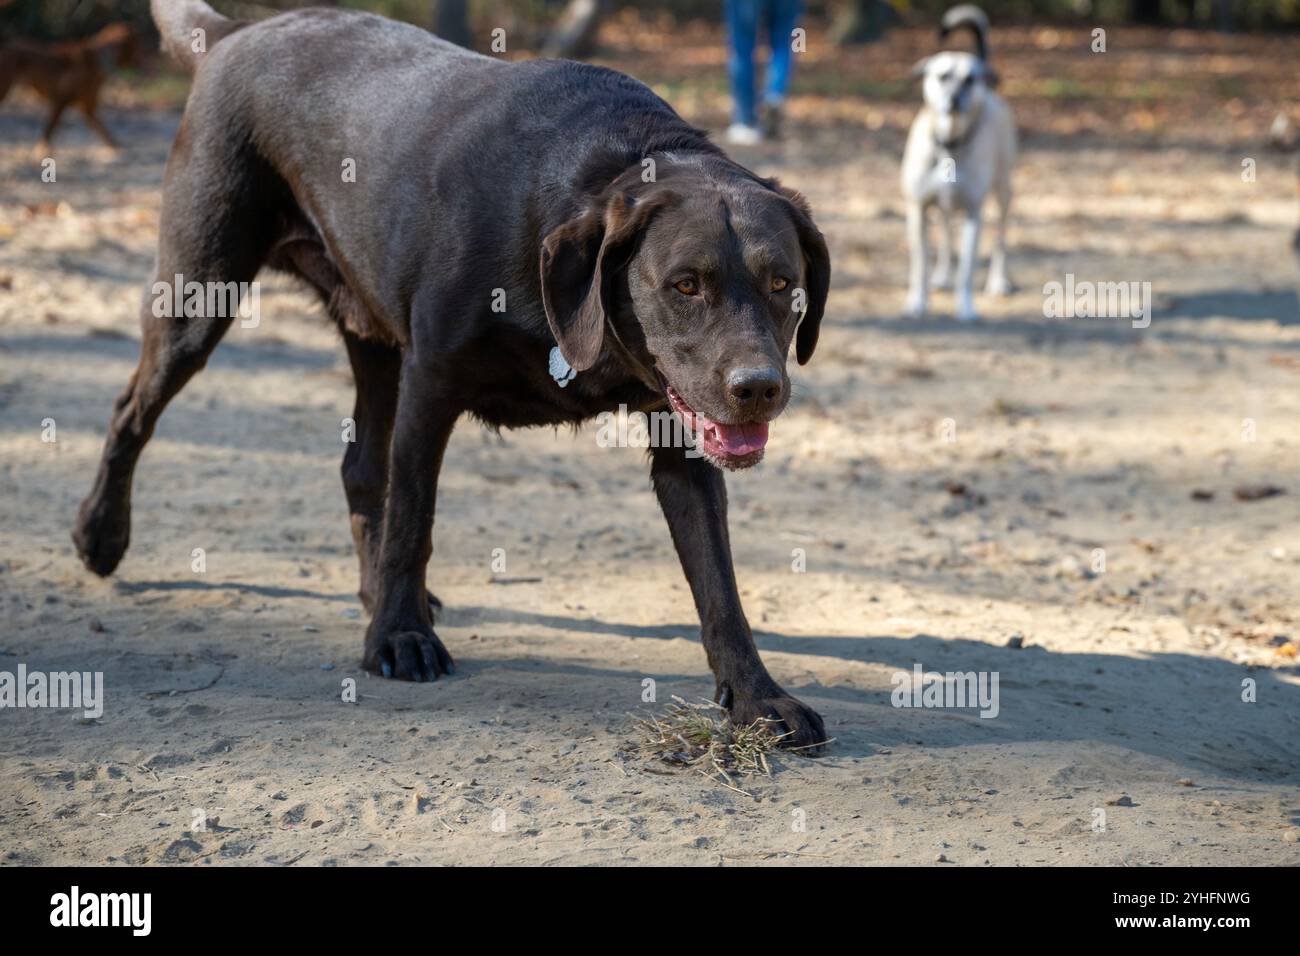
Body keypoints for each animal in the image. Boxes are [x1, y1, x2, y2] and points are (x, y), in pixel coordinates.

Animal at [0, 23, 143, 151]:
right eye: (136, 47)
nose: (143, 61)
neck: (98, 60)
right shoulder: (60, 101)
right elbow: (49, 129)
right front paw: (42, 150)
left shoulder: (87, 109)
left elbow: (104, 132)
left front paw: (116, 147)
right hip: (4, 90)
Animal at [904, 4, 1013, 321]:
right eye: (942, 76)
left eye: (969, 79)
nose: (953, 98)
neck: (949, 145)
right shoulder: (917, 209)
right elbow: (920, 264)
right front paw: (917, 301)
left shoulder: (973, 214)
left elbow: (966, 268)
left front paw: (965, 306)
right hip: (943, 205)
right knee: (943, 229)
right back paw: (941, 276)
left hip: (1003, 192)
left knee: (1000, 239)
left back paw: (998, 281)